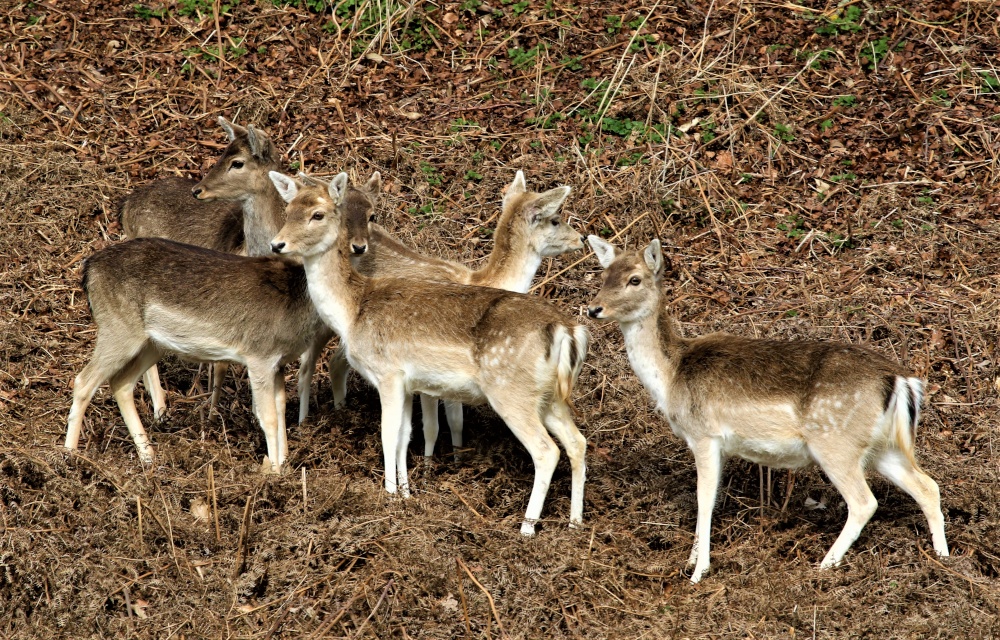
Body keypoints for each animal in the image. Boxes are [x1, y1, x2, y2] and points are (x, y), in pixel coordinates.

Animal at [65, 173, 382, 473]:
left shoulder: (279, 361)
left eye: (319, 214)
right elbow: (267, 416)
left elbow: (281, 408)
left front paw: (283, 463)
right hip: (117, 328)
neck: (297, 303)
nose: (278, 244)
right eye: (289, 210)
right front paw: (274, 472)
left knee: (120, 383)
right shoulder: (259, 354)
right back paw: (68, 456)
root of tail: (89, 269)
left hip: (151, 343)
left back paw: (149, 457)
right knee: (83, 380)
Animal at [333, 170, 584, 459]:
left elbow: (454, 421)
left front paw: (455, 457)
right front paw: (431, 461)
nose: (581, 238)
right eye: (555, 219)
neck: (482, 279)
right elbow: (436, 424)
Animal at [586, 235, 949, 583]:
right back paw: (943, 559)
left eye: (634, 279)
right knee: (928, 487)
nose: (593, 308)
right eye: (603, 275)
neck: (671, 376)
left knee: (864, 502)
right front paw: (690, 560)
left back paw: (824, 566)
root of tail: (899, 380)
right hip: (881, 446)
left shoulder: (704, 434)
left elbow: (705, 500)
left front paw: (698, 572)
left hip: (835, 442)